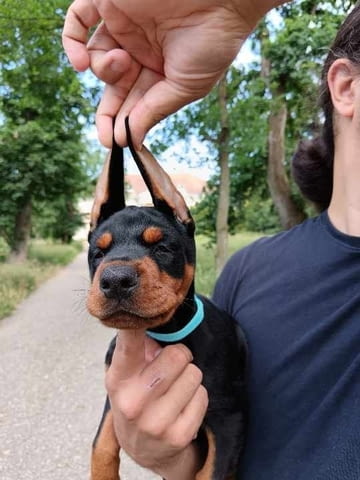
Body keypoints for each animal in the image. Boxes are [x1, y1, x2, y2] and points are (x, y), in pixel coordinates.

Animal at [87, 118, 248, 478]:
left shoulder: (229, 419)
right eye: (98, 254)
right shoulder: (113, 395)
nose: (115, 280)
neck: (163, 334)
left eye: (162, 248)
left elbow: (210, 473)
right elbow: (101, 444)